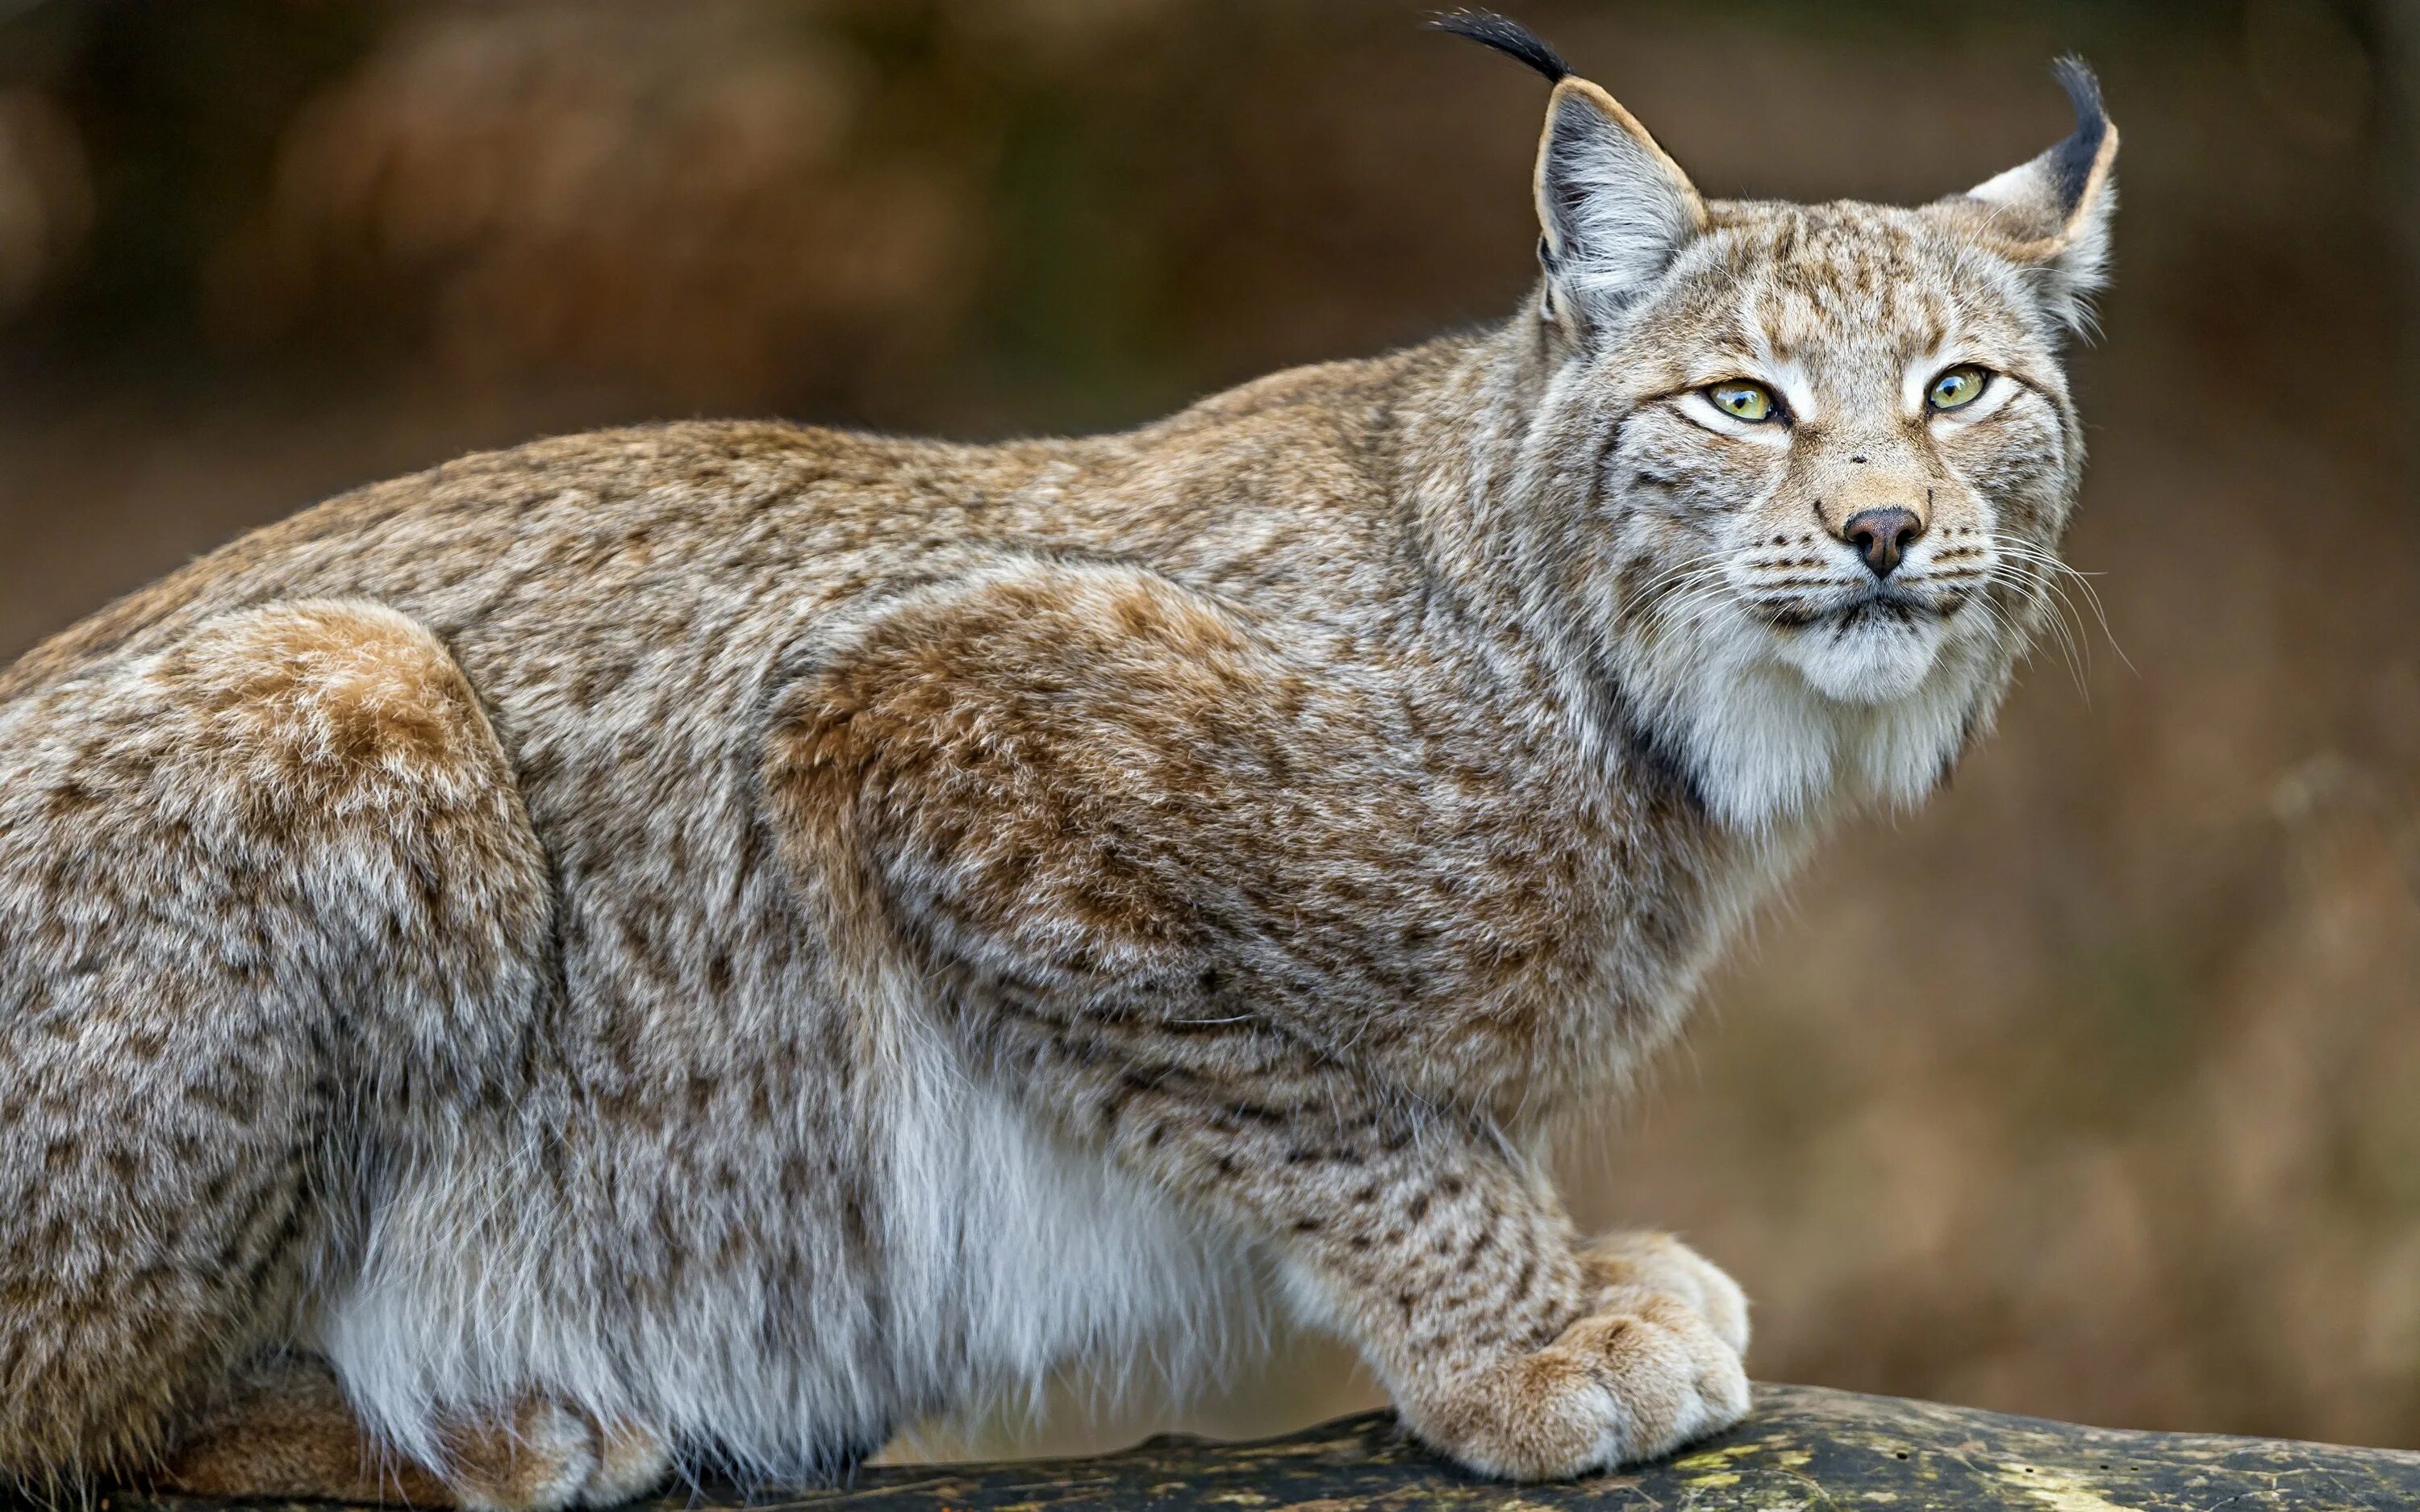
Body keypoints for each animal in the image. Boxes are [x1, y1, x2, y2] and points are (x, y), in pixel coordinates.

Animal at [0, 8, 2120, 1500]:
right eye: (1741, 403)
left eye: (1959, 389)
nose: (1880, 530)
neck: (1619, 688)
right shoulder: (918, 708)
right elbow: (1328, 1104)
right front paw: (1527, 1334)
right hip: (351, 668)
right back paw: (473, 1421)